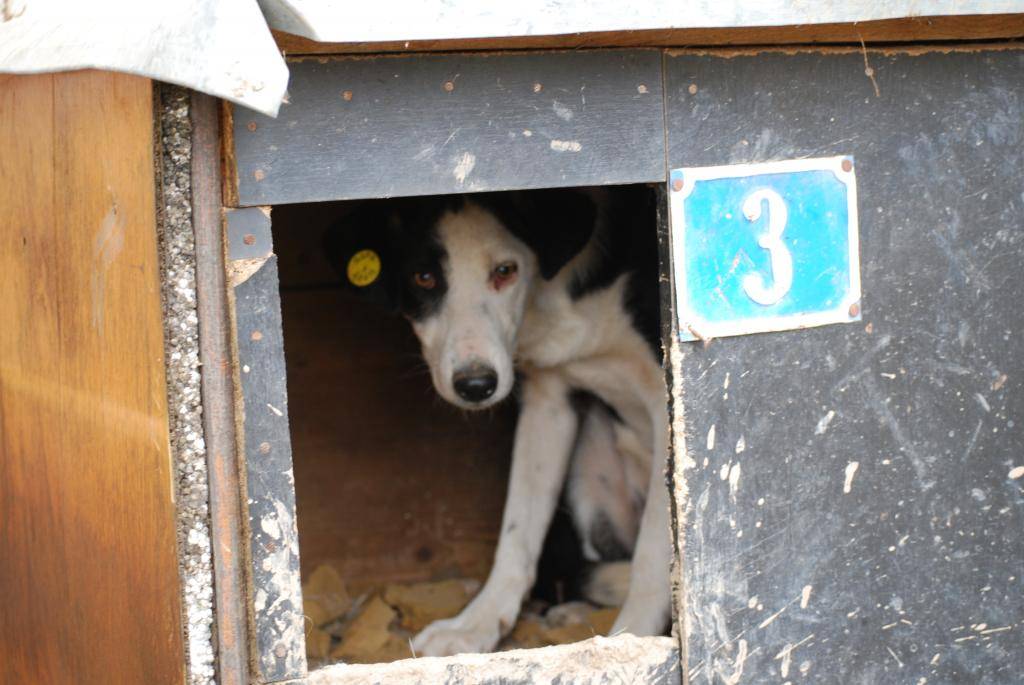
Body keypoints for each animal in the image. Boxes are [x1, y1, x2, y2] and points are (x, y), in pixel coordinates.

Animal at [327, 187, 675, 655]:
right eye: (424, 278)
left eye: (505, 271)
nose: (475, 385)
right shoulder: (548, 399)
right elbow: (517, 531)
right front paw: (475, 625)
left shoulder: (665, 400)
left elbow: (654, 556)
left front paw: (634, 638)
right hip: (590, 465)